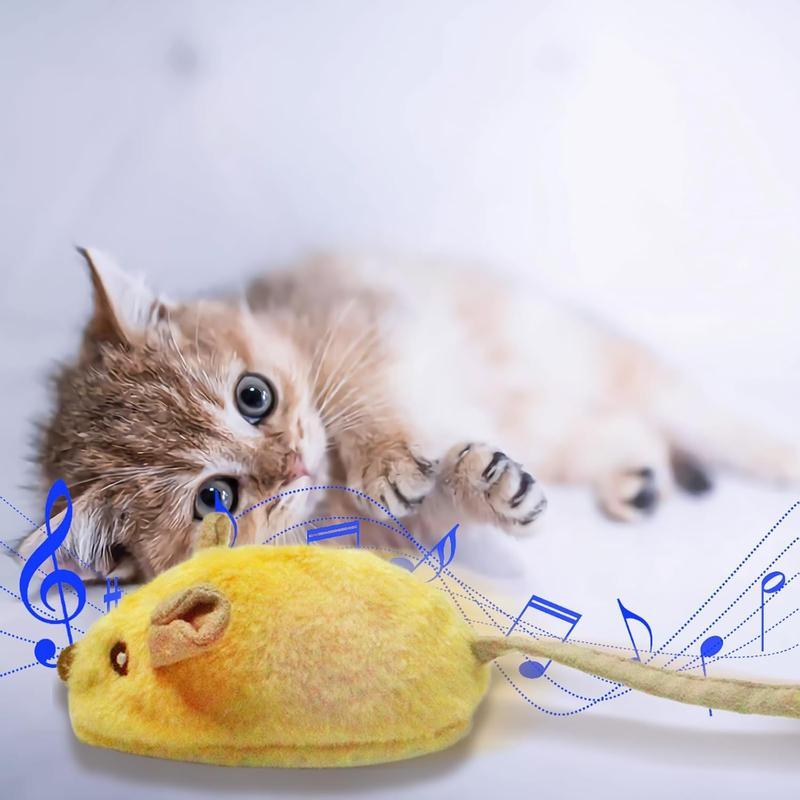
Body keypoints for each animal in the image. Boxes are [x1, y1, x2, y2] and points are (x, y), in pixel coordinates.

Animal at [18, 247, 800, 580]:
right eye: (216, 499)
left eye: (253, 395)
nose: (294, 460)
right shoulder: (405, 537)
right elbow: (439, 507)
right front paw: (482, 485)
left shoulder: (357, 321)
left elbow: (365, 397)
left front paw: (389, 459)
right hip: (567, 425)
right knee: (626, 432)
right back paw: (633, 481)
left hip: (612, 364)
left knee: (715, 421)